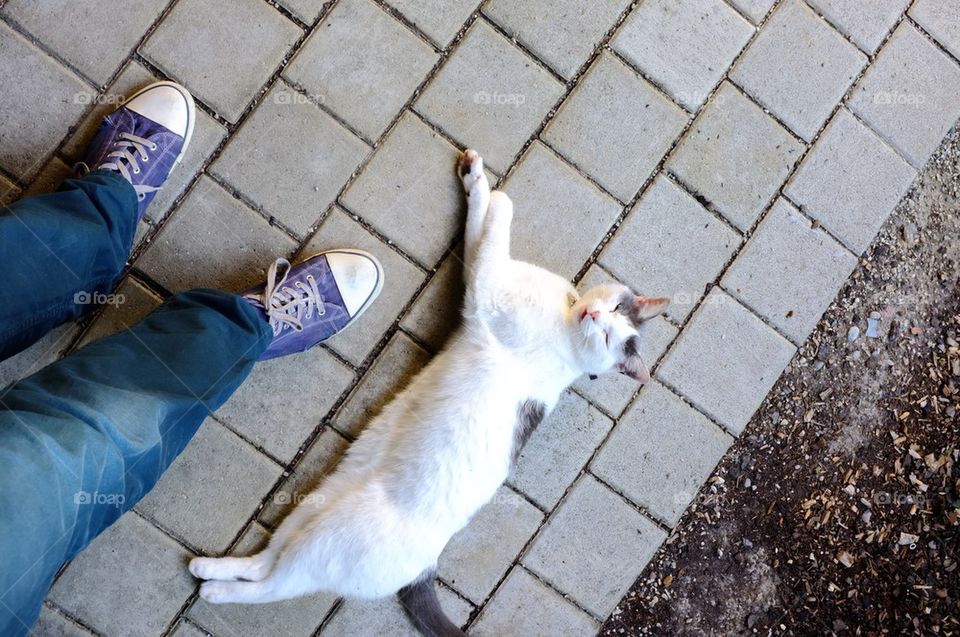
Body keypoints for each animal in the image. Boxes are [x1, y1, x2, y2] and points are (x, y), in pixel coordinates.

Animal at [186, 148, 668, 632]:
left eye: (607, 336)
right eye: (613, 310)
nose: (595, 316)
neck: (566, 315)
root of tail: (426, 567)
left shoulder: (487, 289)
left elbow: (501, 216)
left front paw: (494, 192)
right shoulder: (480, 278)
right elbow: (479, 228)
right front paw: (476, 178)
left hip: (325, 542)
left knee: (273, 586)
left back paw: (215, 589)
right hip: (314, 507)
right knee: (265, 562)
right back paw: (211, 566)